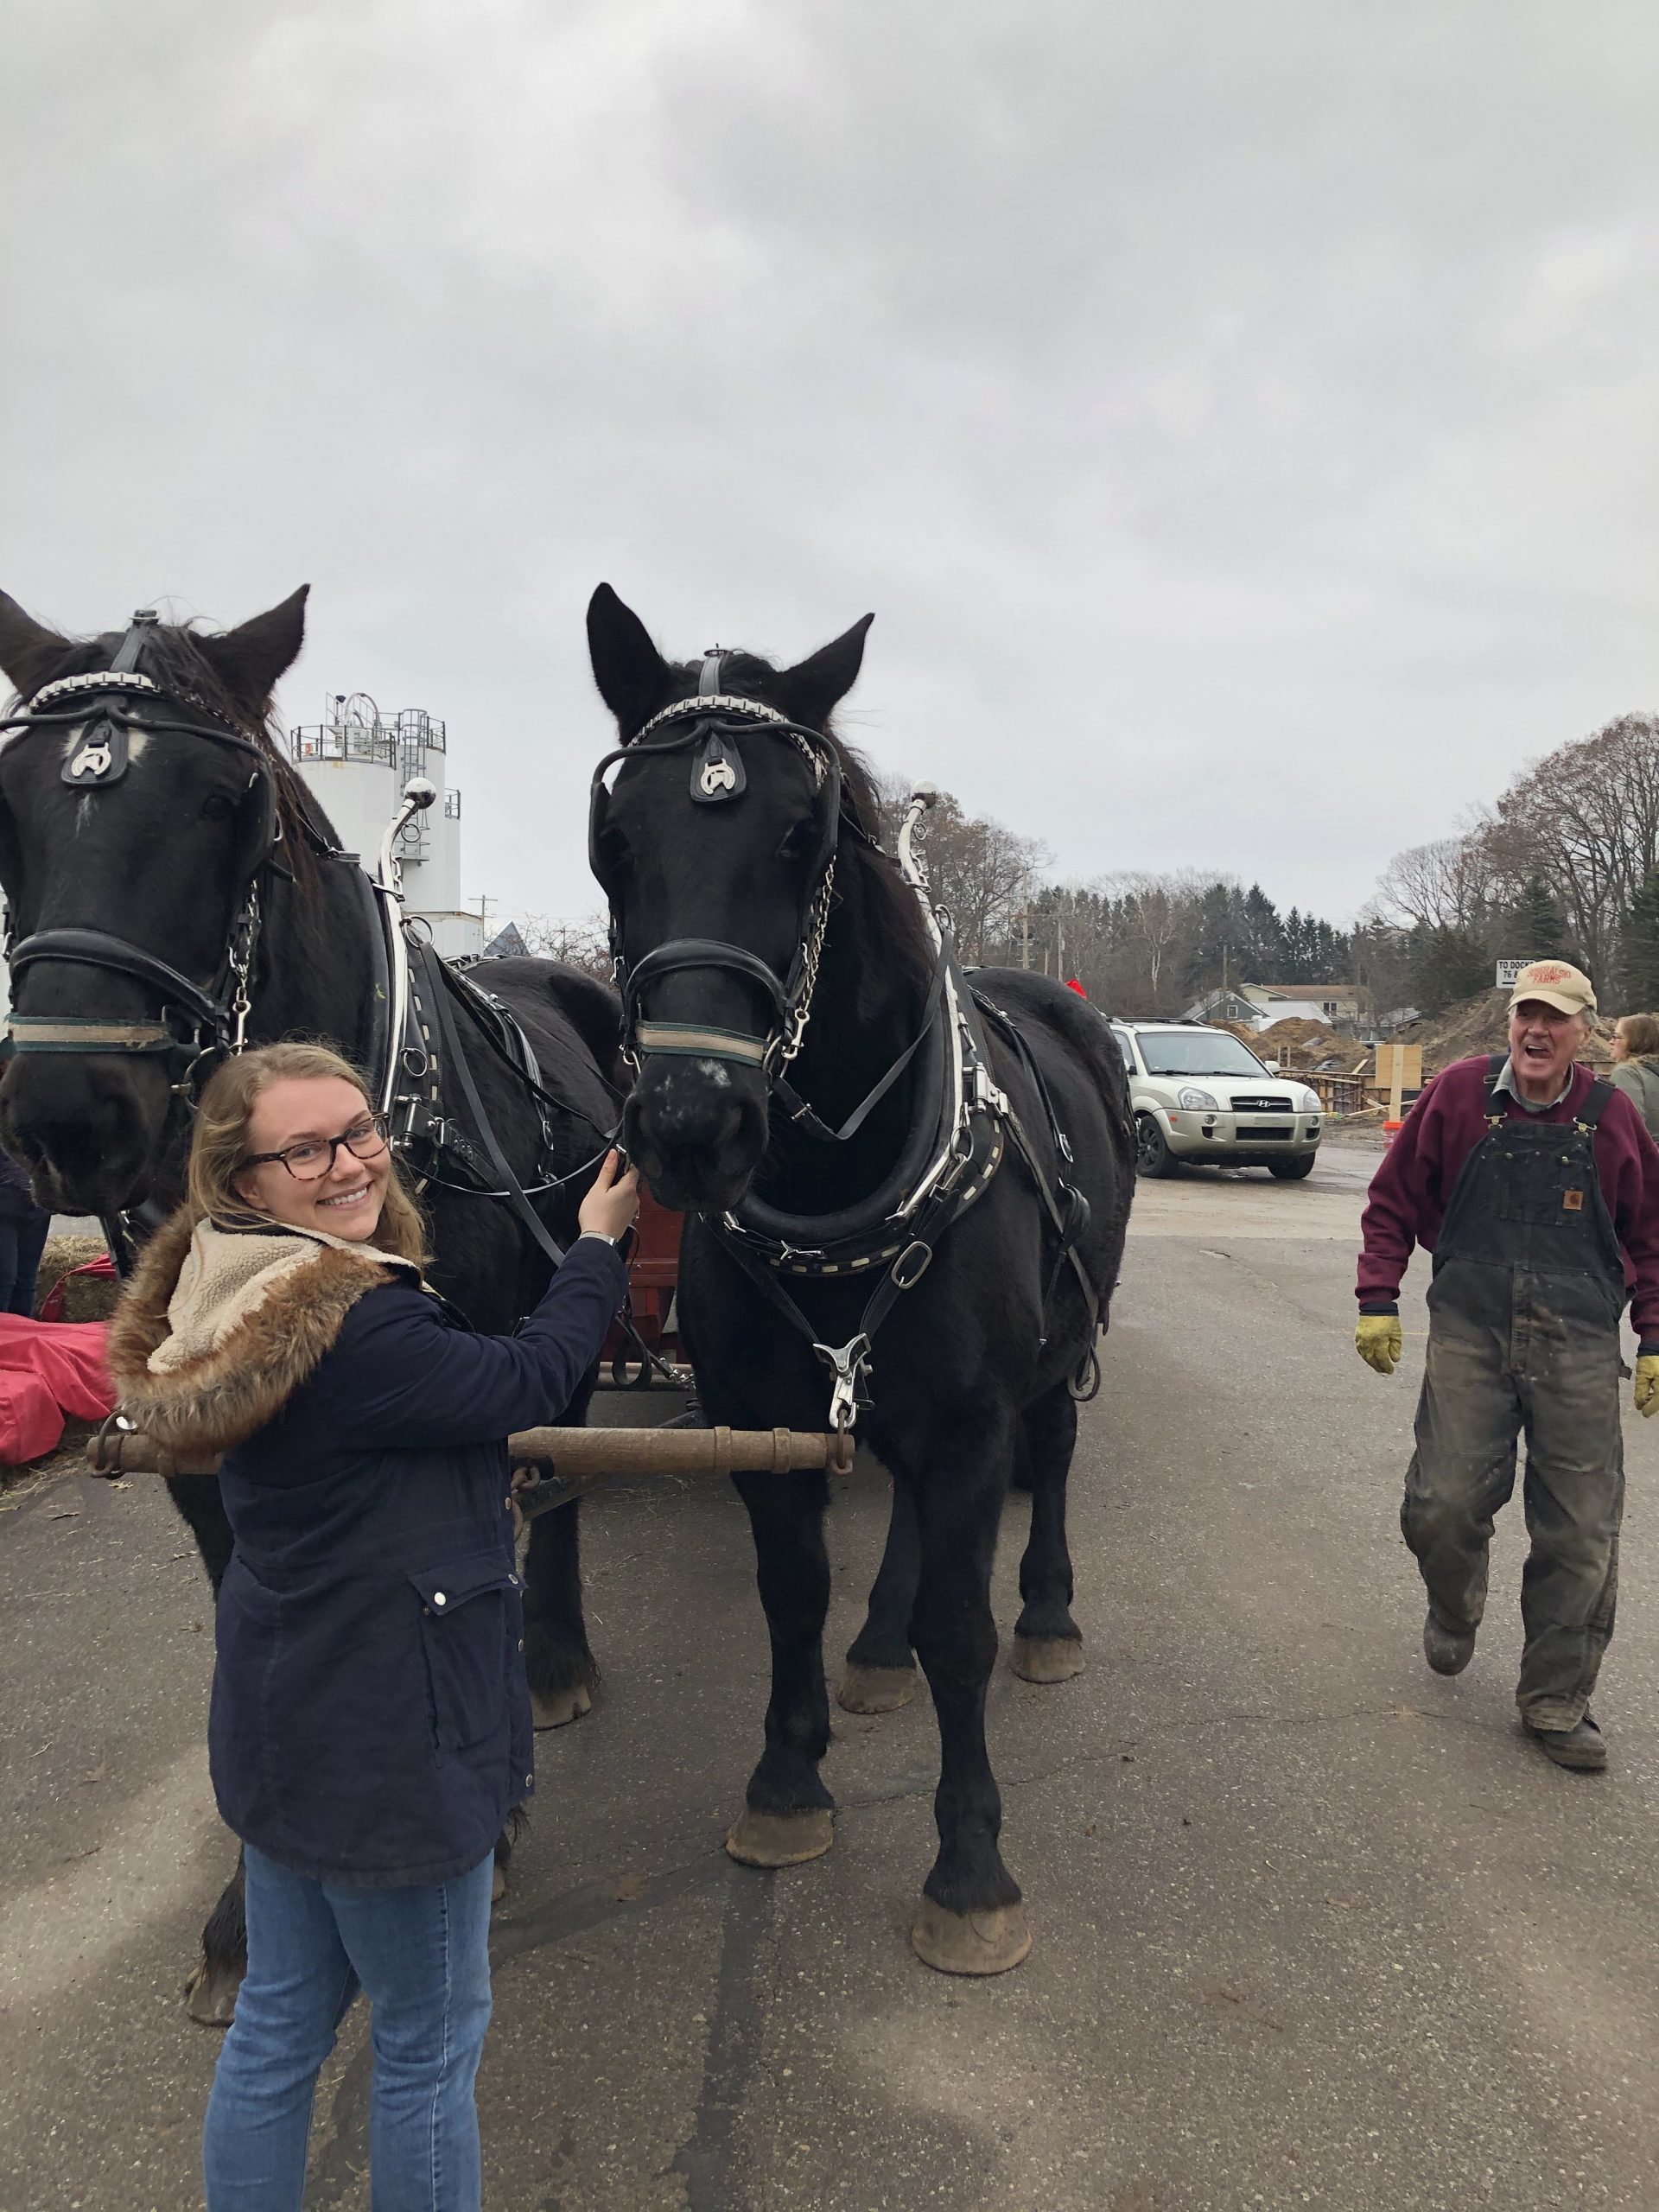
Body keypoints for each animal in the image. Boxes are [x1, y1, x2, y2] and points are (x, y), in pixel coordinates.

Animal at [584, 584, 1134, 1972]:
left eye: (801, 834)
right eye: (617, 837)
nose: (690, 1123)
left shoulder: (974, 1418)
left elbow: (962, 1627)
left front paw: (973, 1864)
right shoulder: (764, 1415)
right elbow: (794, 1593)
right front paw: (787, 1785)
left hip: (1053, 1351)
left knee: (1049, 1463)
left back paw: (1050, 1614)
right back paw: (879, 1644)